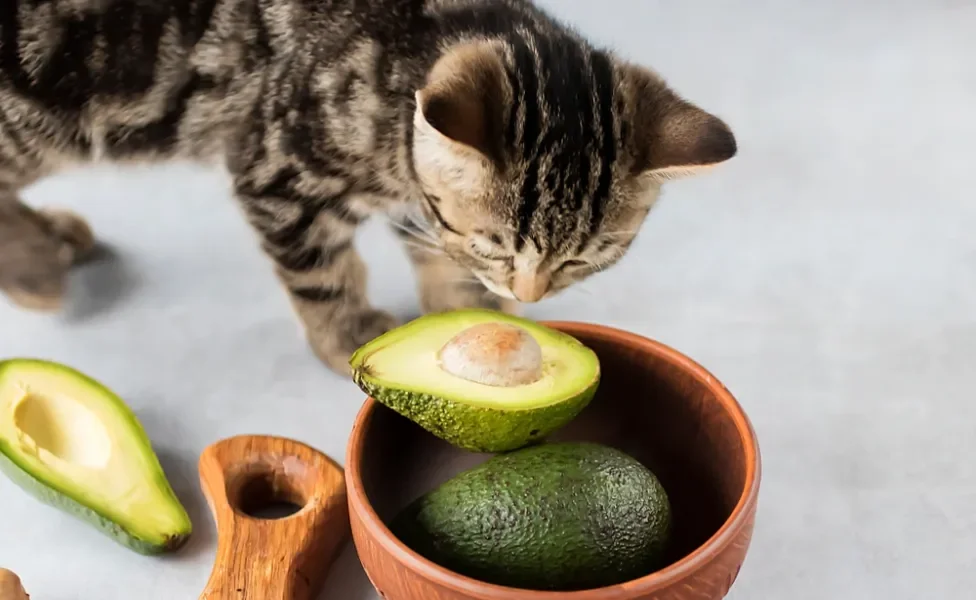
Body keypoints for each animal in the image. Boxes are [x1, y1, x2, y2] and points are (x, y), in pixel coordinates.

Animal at [0, 0, 732, 376]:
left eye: (582, 259)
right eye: (498, 246)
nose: (529, 294)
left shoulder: (421, 207)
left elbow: (441, 262)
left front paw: (473, 319)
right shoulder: (277, 171)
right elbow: (323, 274)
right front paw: (347, 335)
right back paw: (33, 265)